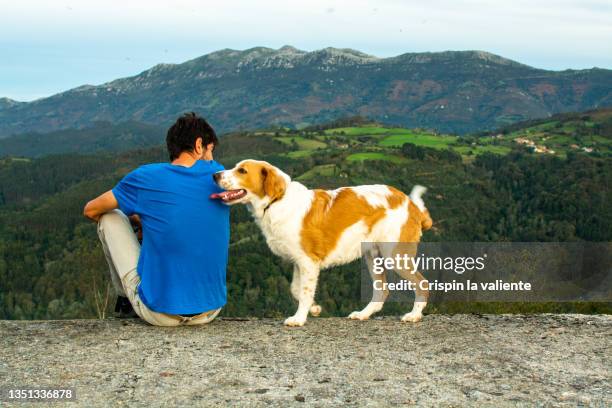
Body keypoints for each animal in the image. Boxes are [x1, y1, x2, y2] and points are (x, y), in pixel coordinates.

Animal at [213, 161, 432, 326]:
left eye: (242, 170)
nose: (215, 175)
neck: (277, 201)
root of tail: (412, 205)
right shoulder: (299, 261)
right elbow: (296, 289)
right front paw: (315, 308)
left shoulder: (308, 261)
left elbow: (304, 291)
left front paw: (299, 319)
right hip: (373, 257)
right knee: (382, 290)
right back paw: (363, 314)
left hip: (395, 256)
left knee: (422, 283)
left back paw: (414, 315)